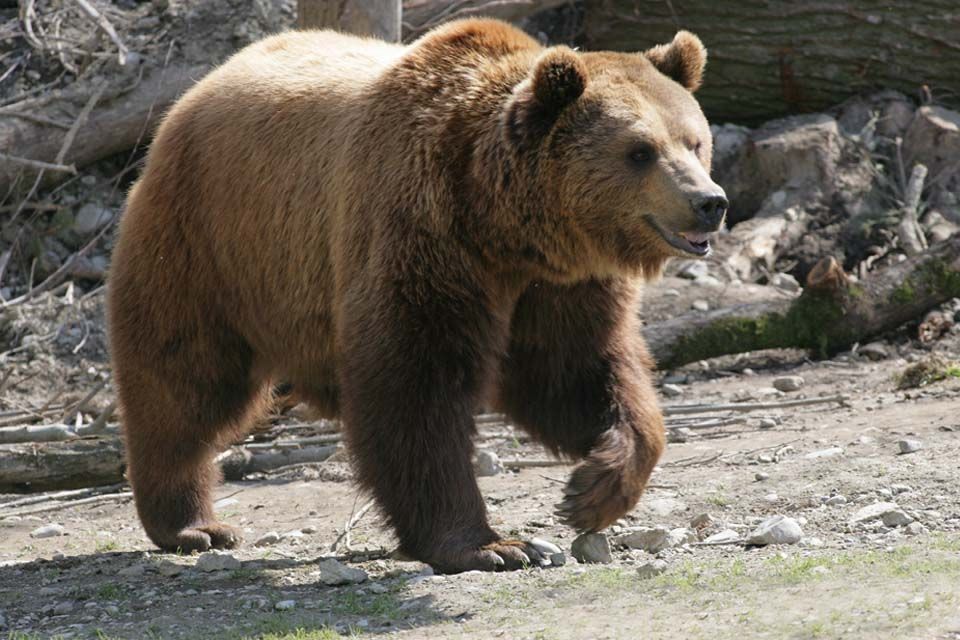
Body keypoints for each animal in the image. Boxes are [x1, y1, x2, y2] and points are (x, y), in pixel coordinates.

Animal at [109, 17, 728, 572]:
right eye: (640, 151)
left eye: (695, 140)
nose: (710, 202)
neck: (503, 225)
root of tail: (198, 88)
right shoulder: (420, 231)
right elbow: (415, 388)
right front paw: (490, 545)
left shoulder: (560, 286)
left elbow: (576, 371)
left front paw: (592, 490)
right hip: (210, 243)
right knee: (183, 381)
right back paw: (192, 524)